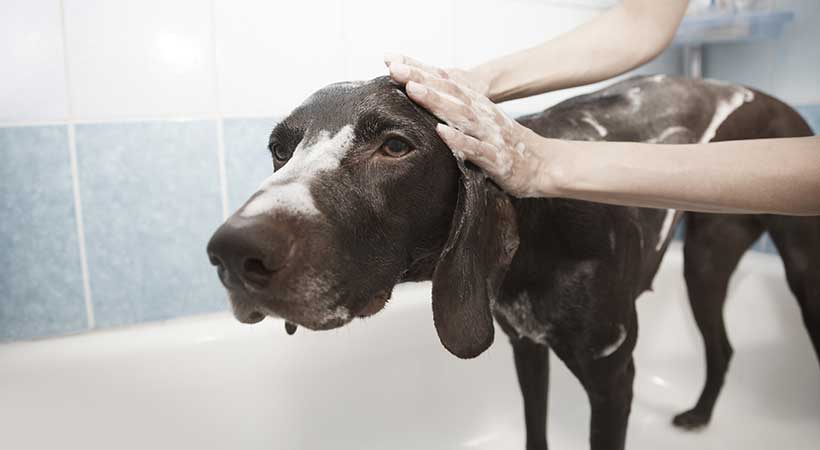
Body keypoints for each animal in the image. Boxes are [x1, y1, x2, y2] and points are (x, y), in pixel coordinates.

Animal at [207, 76, 820, 450]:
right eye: (280, 150)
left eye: (395, 146)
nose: (232, 252)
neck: (540, 234)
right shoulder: (526, 349)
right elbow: (535, 427)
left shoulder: (613, 380)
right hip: (705, 263)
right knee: (722, 346)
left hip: (786, 269)